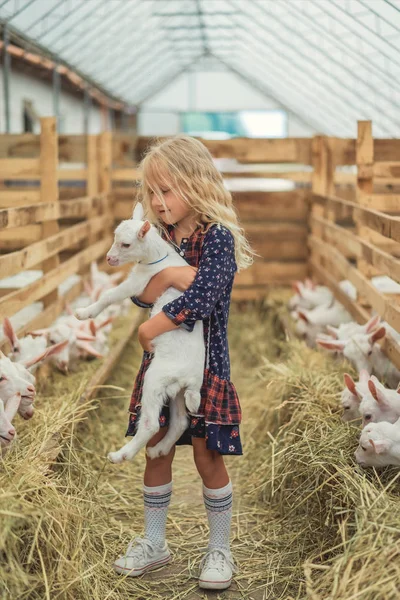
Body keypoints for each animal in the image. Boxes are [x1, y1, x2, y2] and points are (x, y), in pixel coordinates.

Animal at [76, 204, 205, 462]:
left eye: (126, 244)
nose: (109, 258)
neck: (157, 257)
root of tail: (193, 380)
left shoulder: (140, 281)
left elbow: (109, 295)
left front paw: (85, 313)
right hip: (176, 390)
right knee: (180, 421)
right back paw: (158, 450)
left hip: (156, 378)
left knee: (150, 424)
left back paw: (120, 455)